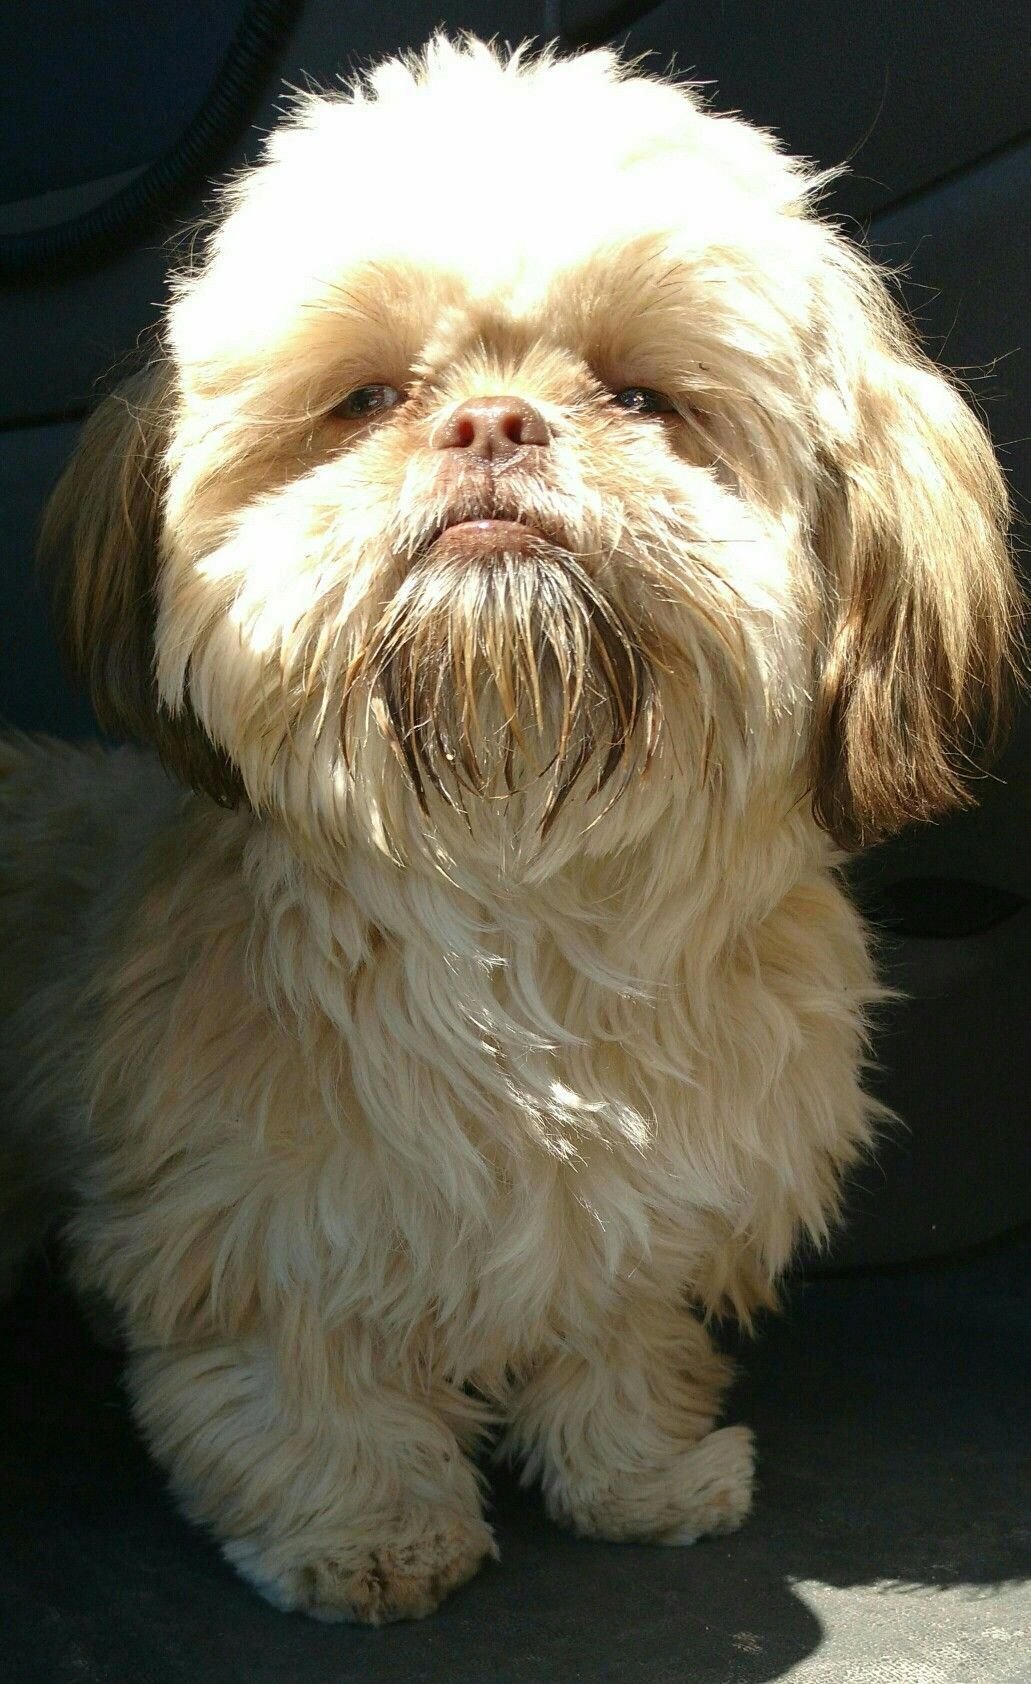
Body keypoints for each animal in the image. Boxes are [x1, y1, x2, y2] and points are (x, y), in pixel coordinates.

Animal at [0, 36, 1020, 1623]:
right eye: (365, 396)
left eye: (641, 396)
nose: (489, 423)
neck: (520, 896)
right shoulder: (256, 1217)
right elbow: (305, 1388)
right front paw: (367, 1527)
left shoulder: (653, 1205)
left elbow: (614, 1332)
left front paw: (637, 1472)